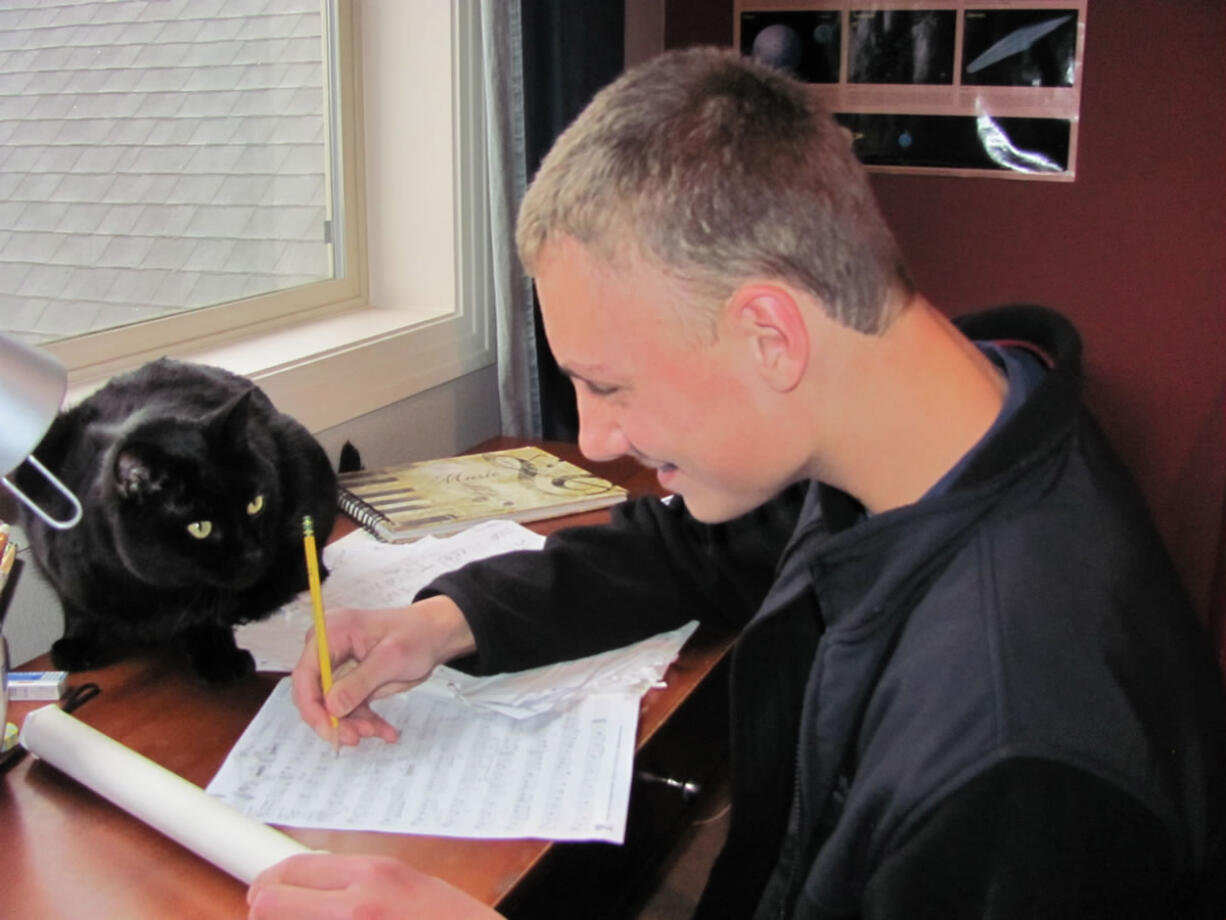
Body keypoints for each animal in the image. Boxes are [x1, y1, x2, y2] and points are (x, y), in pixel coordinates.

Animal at [15, 360, 340, 686]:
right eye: (200, 527)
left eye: (254, 504)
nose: (253, 553)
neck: (152, 590)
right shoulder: (51, 545)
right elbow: (75, 604)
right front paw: (77, 642)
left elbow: (207, 613)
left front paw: (218, 656)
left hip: (302, 456)